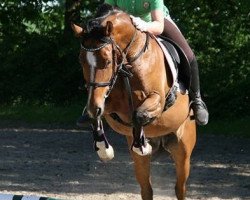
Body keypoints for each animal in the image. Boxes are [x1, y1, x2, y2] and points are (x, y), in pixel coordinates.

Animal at [71, 3, 196, 200]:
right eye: (81, 61)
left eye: (107, 61)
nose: (93, 105)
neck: (129, 62)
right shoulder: (109, 104)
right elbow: (96, 114)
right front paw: (103, 149)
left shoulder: (158, 100)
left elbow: (139, 114)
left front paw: (141, 144)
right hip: (142, 164)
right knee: (146, 188)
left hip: (183, 150)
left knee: (180, 188)